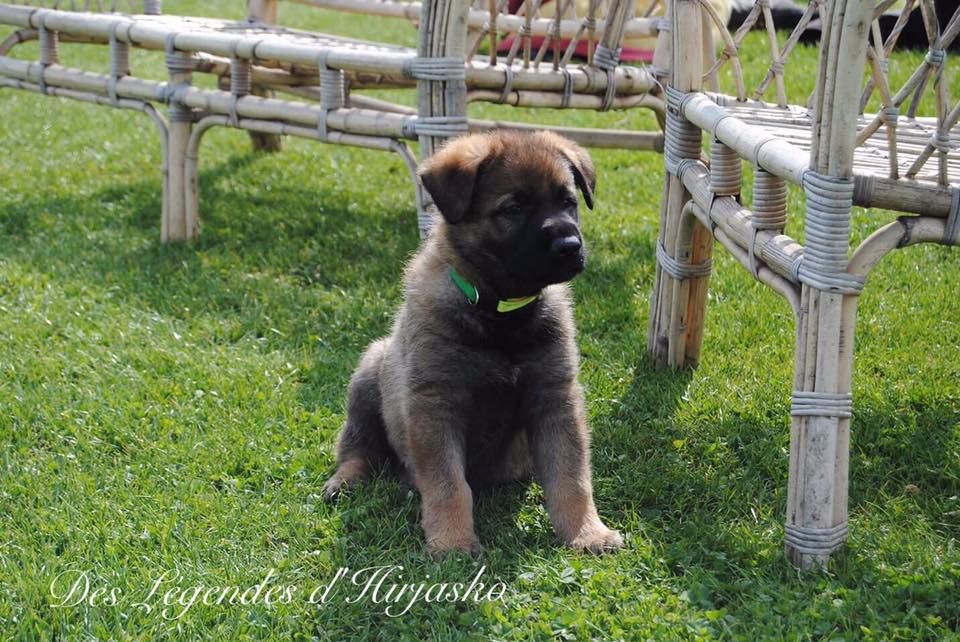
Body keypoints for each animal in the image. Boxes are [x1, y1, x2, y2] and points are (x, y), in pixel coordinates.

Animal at [322, 130, 624, 556]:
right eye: (512, 208)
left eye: (568, 201)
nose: (570, 246)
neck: (501, 312)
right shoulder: (435, 404)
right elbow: (449, 485)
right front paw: (452, 542)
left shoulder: (555, 398)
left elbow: (572, 478)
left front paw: (587, 532)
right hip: (369, 373)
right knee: (358, 447)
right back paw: (344, 481)